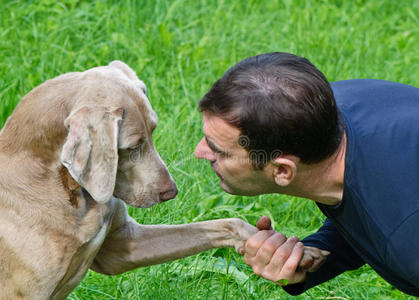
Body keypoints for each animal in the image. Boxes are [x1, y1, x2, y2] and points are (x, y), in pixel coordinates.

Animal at [0, 61, 328, 300]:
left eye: (154, 130)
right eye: (130, 147)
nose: (171, 192)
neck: (68, 192)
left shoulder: (123, 246)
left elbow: (226, 223)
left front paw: (296, 252)